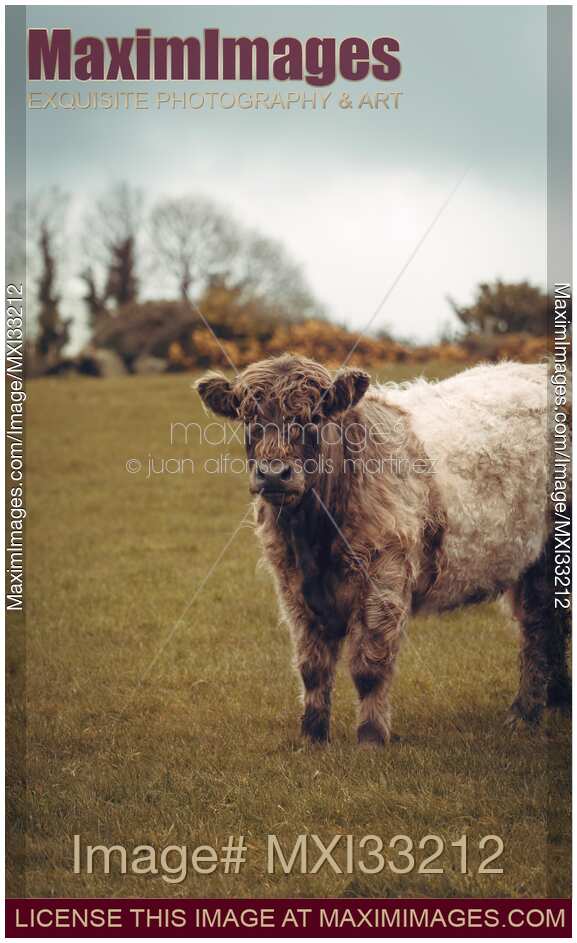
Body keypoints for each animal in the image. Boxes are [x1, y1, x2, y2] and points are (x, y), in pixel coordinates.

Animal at [197, 354, 570, 746]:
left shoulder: (383, 578)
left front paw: (371, 737)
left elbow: (369, 666)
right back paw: (557, 702)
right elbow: (312, 667)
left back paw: (524, 713)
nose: (273, 473)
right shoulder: (293, 588)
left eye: (314, 417)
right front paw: (312, 736)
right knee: (552, 623)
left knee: (537, 627)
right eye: (248, 418)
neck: (313, 536)